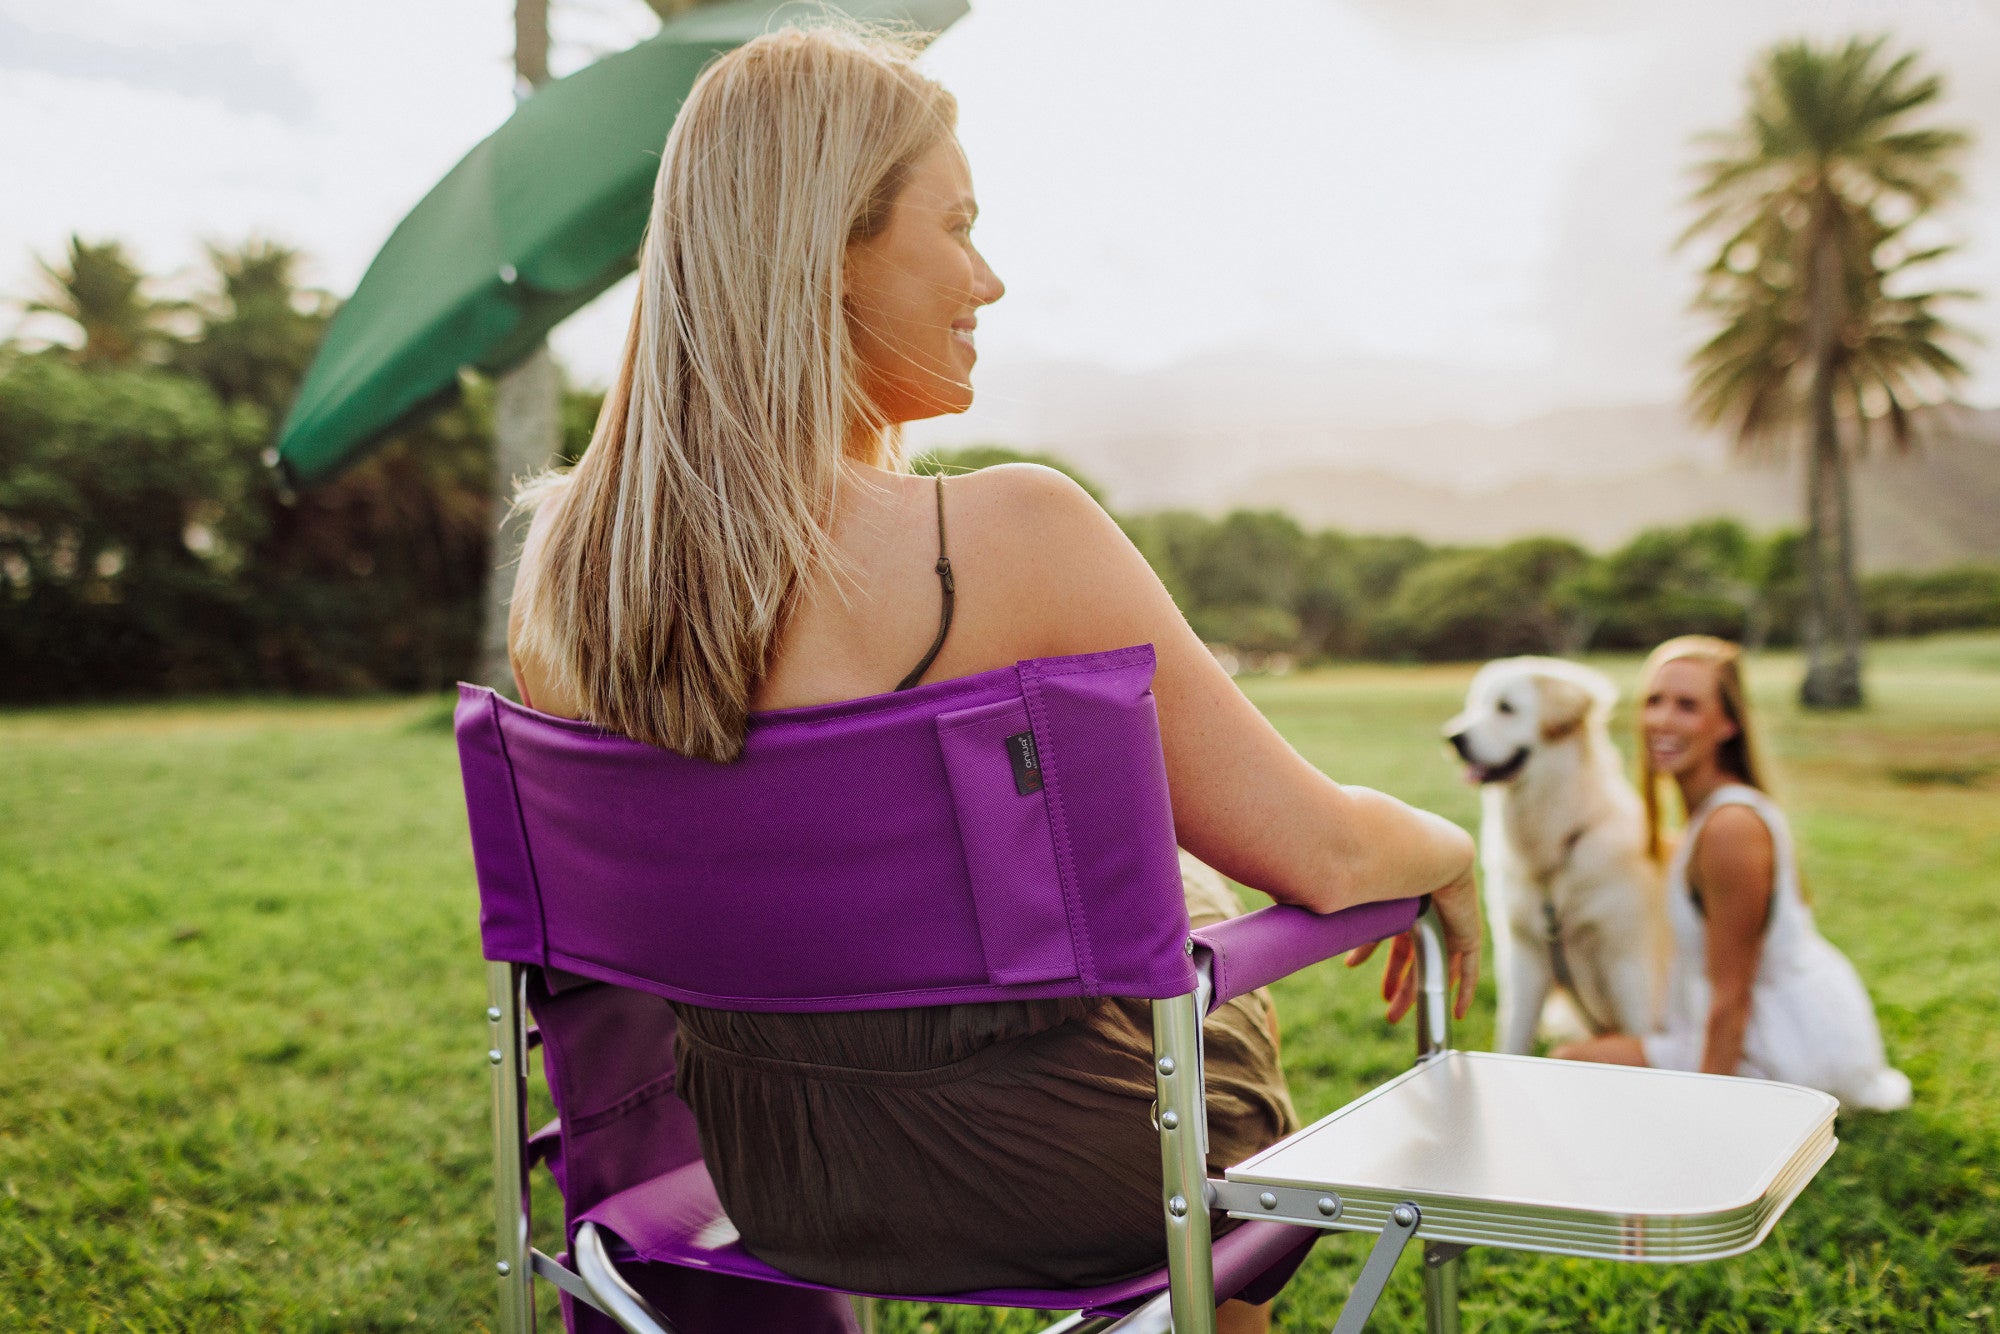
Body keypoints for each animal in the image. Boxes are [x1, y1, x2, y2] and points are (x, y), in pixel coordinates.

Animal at [1448, 656, 1664, 1056]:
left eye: (1506, 708)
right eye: (1475, 705)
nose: (1453, 738)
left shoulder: (1629, 964)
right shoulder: (1525, 960)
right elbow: (1514, 1037)